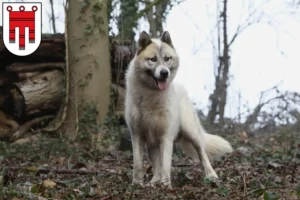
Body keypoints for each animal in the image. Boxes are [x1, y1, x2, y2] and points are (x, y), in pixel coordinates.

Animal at [123, 31, 233, 188]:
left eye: (167, 58)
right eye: (153, 59)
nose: (164, 73)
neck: (151, 94)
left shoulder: (166, 137)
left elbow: (166, 165)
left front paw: (166, 187)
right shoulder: (137, 135)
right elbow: (138, 164)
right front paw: (137, 185)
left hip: (192, 133)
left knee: (202, 154)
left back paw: (211, 175)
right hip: (152, 145)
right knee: (156, 167)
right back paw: (153, 183)